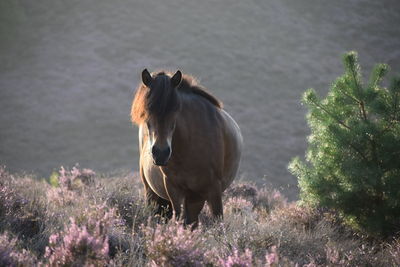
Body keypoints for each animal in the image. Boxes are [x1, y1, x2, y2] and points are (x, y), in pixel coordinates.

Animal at [132, 69, 244, 226]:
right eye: (147, 109)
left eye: (175, 109)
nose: (160, 153)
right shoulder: (174, 189)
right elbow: (178, 218)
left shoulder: (214, 190)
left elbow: (217, 220)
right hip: (153, 192)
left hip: (195, 198)